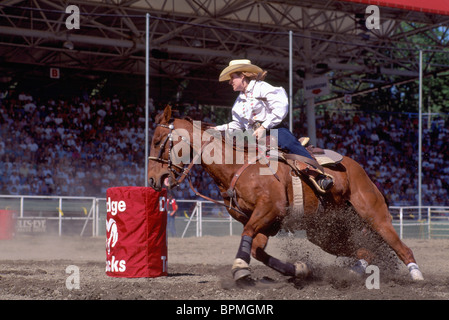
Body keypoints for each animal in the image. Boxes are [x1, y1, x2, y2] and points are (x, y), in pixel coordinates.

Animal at [148, 105, 424, 282]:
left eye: (158, 140)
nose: (153, 179)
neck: (238, 167)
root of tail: (357, 168)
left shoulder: (269, 211)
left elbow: (248, 238)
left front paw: (239, 268)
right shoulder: (266, 223)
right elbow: (256, 249)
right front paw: (298, 270)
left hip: (375, 215)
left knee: (400, 247)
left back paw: (416, 275)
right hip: (325, 231)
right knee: (364, 251)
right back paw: (355, 272)